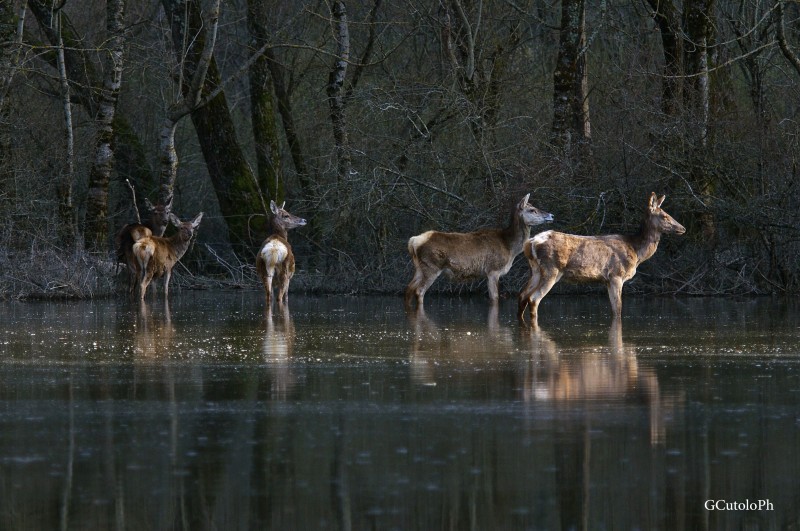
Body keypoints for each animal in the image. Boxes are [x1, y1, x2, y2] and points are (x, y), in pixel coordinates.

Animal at [404, 193, 552, 310]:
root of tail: (413, 241)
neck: (510, 247)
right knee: (419, 291)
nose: (551, 215)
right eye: (532, 210)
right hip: (432, 266)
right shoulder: (493, 270)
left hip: (419, 267)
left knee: (409, 288)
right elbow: (495, 298)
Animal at [520, 192, 688, 322]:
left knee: (522, 295)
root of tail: (531, 242)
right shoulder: (616, 275)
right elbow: (618, 310)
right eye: (664, 216)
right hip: (551, 269)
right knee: (533, 298)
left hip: (535, 270)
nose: (683, 228)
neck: (636, 251)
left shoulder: (607, 280)